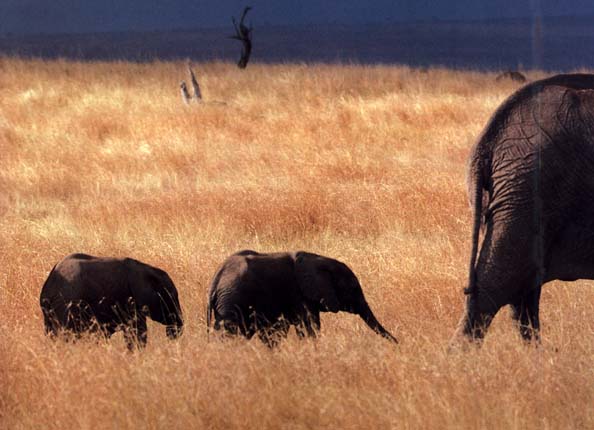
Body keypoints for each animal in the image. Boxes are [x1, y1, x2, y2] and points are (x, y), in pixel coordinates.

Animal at [206, 249, 396, 346]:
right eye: (353, 289)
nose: (398, 344)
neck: (320, 259)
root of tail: (216, 278)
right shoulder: (300, 296)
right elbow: (309, 326)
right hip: (233, 301)